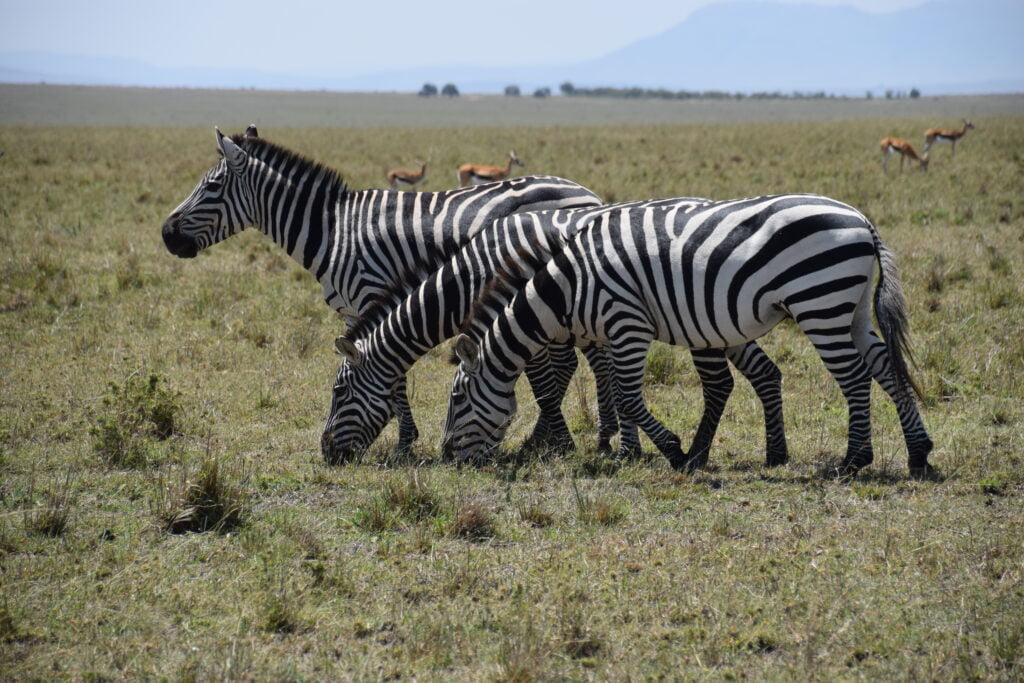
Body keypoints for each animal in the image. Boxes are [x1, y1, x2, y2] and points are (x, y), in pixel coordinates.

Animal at [161, 126, 606, 454]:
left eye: (211, 187)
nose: (166, 233)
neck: (332, 233)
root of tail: (586, 192)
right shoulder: (353, 309)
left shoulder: (367, 295)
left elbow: (391, 374)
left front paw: (404, 441)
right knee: (568, 362)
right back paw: (548, 436)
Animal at [323, 198, 786, 471]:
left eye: (339, 392)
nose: (326, 454)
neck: (473, 274)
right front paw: (582, 441)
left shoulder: (528, 318)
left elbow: (547, 386)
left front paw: (559, 443)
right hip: (724, 319)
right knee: (764, 372)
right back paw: (768, 453)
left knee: (721, 382)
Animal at [442, 194, 937, 479]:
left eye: (458, 398)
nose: (447, 458)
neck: (569, 287)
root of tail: (860, 218)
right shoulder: (611, 335)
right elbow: (619, 396)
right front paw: (640, 452)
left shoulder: (627, 323)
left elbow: (628, 398)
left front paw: (674, 453)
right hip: (850, 304)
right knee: (884, 366)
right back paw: (918, 453)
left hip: (819, 301)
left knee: (854, 378)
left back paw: (854, 460)